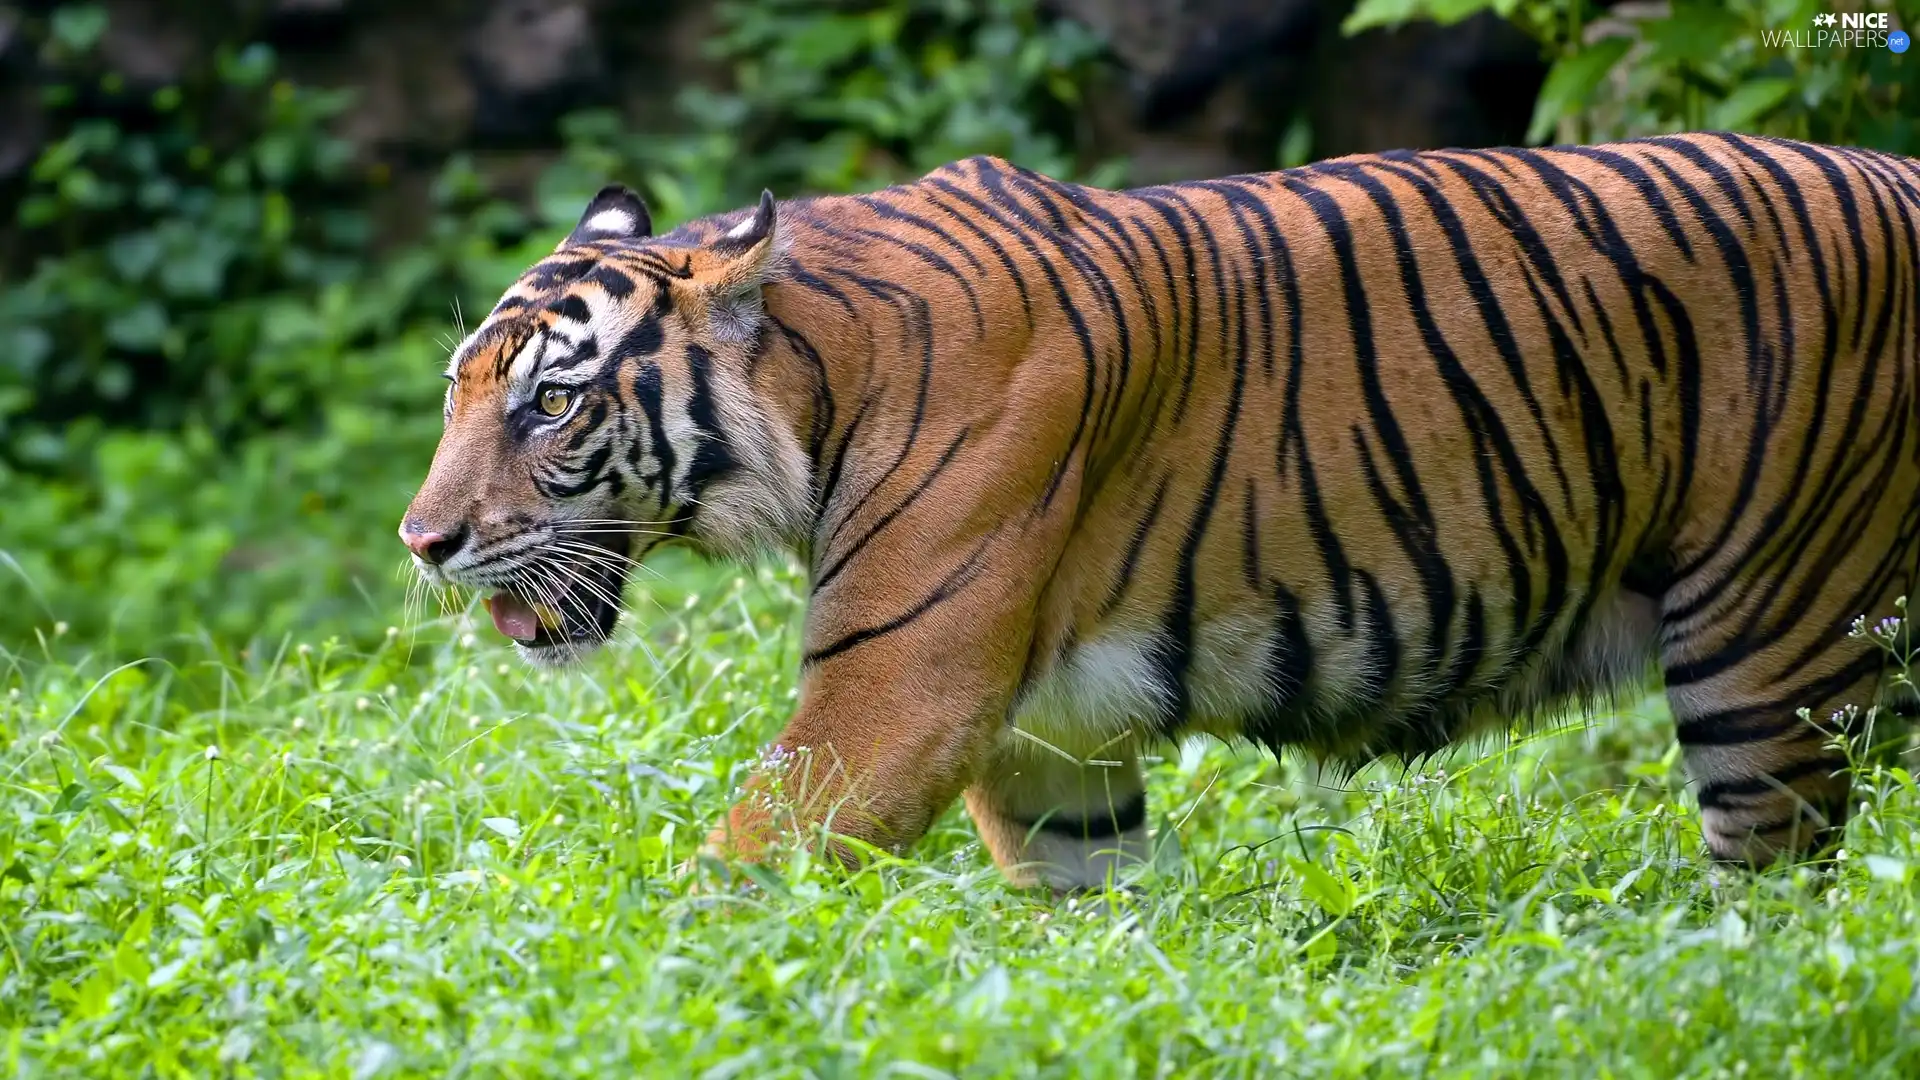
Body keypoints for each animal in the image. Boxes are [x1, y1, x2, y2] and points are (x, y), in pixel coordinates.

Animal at [401, 130, 1920, 887]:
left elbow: (732, 879)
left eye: (550, 405)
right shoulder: (1050, 743)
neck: (819, 383)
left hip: (1769, 645)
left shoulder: (896, 698)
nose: (425, 544)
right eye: (459, 391)